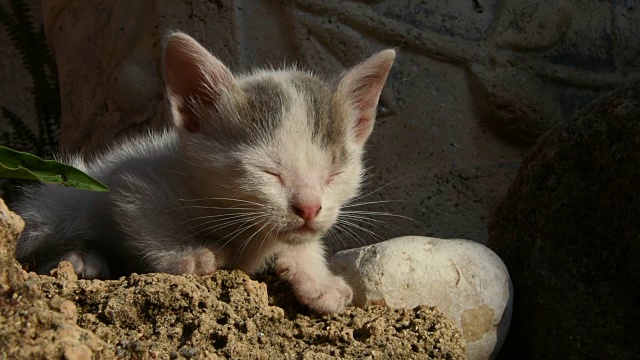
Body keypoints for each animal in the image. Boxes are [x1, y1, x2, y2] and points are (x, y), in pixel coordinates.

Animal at [12, 32, 396, 314]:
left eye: (334, 173)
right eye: (268, 172)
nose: (309, 208)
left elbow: (301, 242)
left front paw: (317, 281)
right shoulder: (135, 183)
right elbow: (144, 219)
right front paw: (188, 257)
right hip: (57, 197)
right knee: (34, 245)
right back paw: (79, 259)